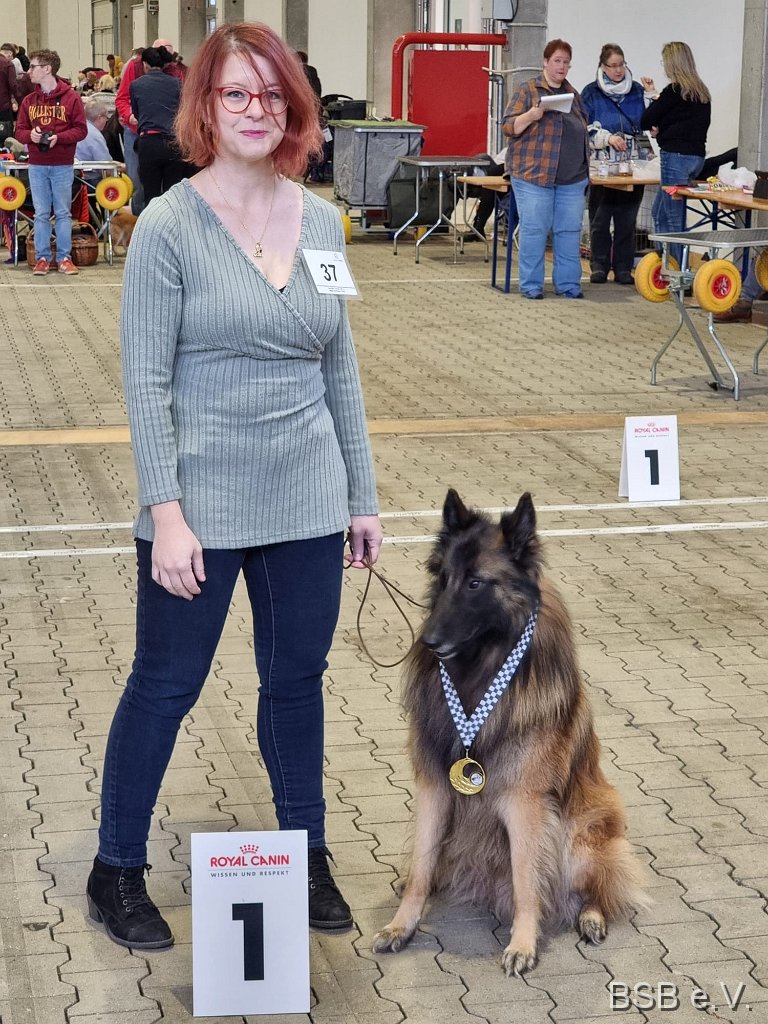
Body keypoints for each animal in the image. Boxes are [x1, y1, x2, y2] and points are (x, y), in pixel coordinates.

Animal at [373, 489, 649, 976]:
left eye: (476, 584)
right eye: (443, 578)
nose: (427, 641)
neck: (478, 671)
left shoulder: (524, 803)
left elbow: (526, 880)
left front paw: (522, 944)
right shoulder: (433, 788)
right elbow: (420, 868)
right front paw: (402, 926)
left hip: (581, 832)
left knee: (598, 886)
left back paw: (591, 917)